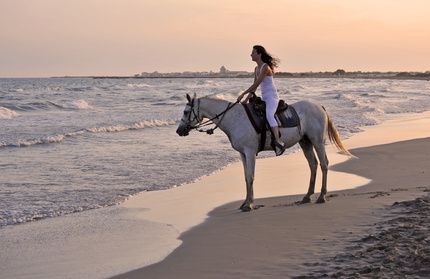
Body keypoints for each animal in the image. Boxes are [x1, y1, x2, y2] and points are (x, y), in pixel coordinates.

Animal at [176, 93, 352, 211]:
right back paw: (307, 196)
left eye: (185, 112)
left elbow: (250, 176)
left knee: (323, 164)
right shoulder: (242, 154)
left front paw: (249, 204)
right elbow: (246, 177)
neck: (234, 118)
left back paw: (322, 196)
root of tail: (319, 107)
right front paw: (246, 202)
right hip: (305, 142)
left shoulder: (250, 152)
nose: (179, 131)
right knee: (313, 165)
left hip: (317, 141)